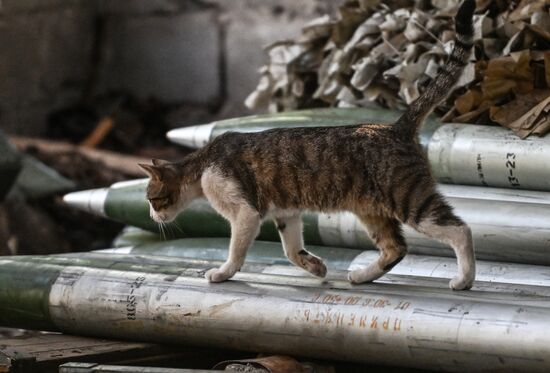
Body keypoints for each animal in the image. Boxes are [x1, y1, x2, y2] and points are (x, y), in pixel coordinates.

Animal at [139, 0, 478, 290]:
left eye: (152, 200)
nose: (153, 218)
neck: (202, 167)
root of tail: (396, 126)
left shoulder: (246, 212)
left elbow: (236, 251)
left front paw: (223, 273)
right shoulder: (285, 213)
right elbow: (291, 250)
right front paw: (317, 267)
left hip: (408, 199)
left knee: (460, 229)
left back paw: (464, 280)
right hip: (371, 210)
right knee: (395, 248)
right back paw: (361, 276)